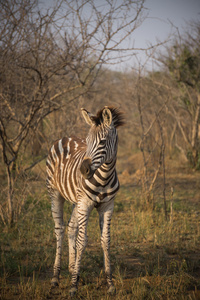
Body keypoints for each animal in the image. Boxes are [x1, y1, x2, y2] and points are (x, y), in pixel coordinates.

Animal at [46, 105, 124, 296]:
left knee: (71, 228)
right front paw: (73, 286)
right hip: (55, 193)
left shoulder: (108, 206)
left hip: (77, 202)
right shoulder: (86, 204)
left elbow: (106, 240)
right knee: (59, 229)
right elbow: (82, 241)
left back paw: (72, 269)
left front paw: (110, 283)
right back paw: (56, 278)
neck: (103, 178)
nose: (83, 170)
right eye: (87, 142)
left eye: (102, 142)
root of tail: (65, 137)